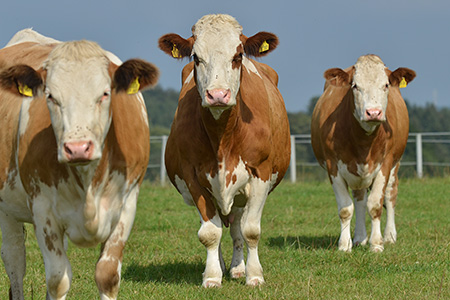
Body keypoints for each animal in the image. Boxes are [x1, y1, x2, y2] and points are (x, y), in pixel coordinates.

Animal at [0, 28, 159, 300]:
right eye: (50, 96)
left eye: (105, 93)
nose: (77, 148)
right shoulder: (43, 209)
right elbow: (58, 279)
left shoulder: (127, 204)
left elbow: (107, 275)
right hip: (7, 211)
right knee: (15, 263)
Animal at [158, 14, 292, 286]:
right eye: (196, 57)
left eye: (238, 55)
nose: (218, 95)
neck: (223, 137)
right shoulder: (193, 177)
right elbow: (210, 232)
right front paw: (211, 276)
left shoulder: (260, 173)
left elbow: (251, 231)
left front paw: (254, 275)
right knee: (220, 225)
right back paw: (220, 265)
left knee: (238, 228)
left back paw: (238, 267)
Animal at [312, 54, 416, 253]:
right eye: (355, 86)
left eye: (386, 85)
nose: (373, 112)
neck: (363, 143)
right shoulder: (333, 166)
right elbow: (346, 208)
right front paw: (345, 245)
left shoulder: (385, 164)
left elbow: (375, 205)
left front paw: (377, 244)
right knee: (360, 198)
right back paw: (360, 237)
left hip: (395, 165)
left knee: (390, 195)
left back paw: (389, 236)